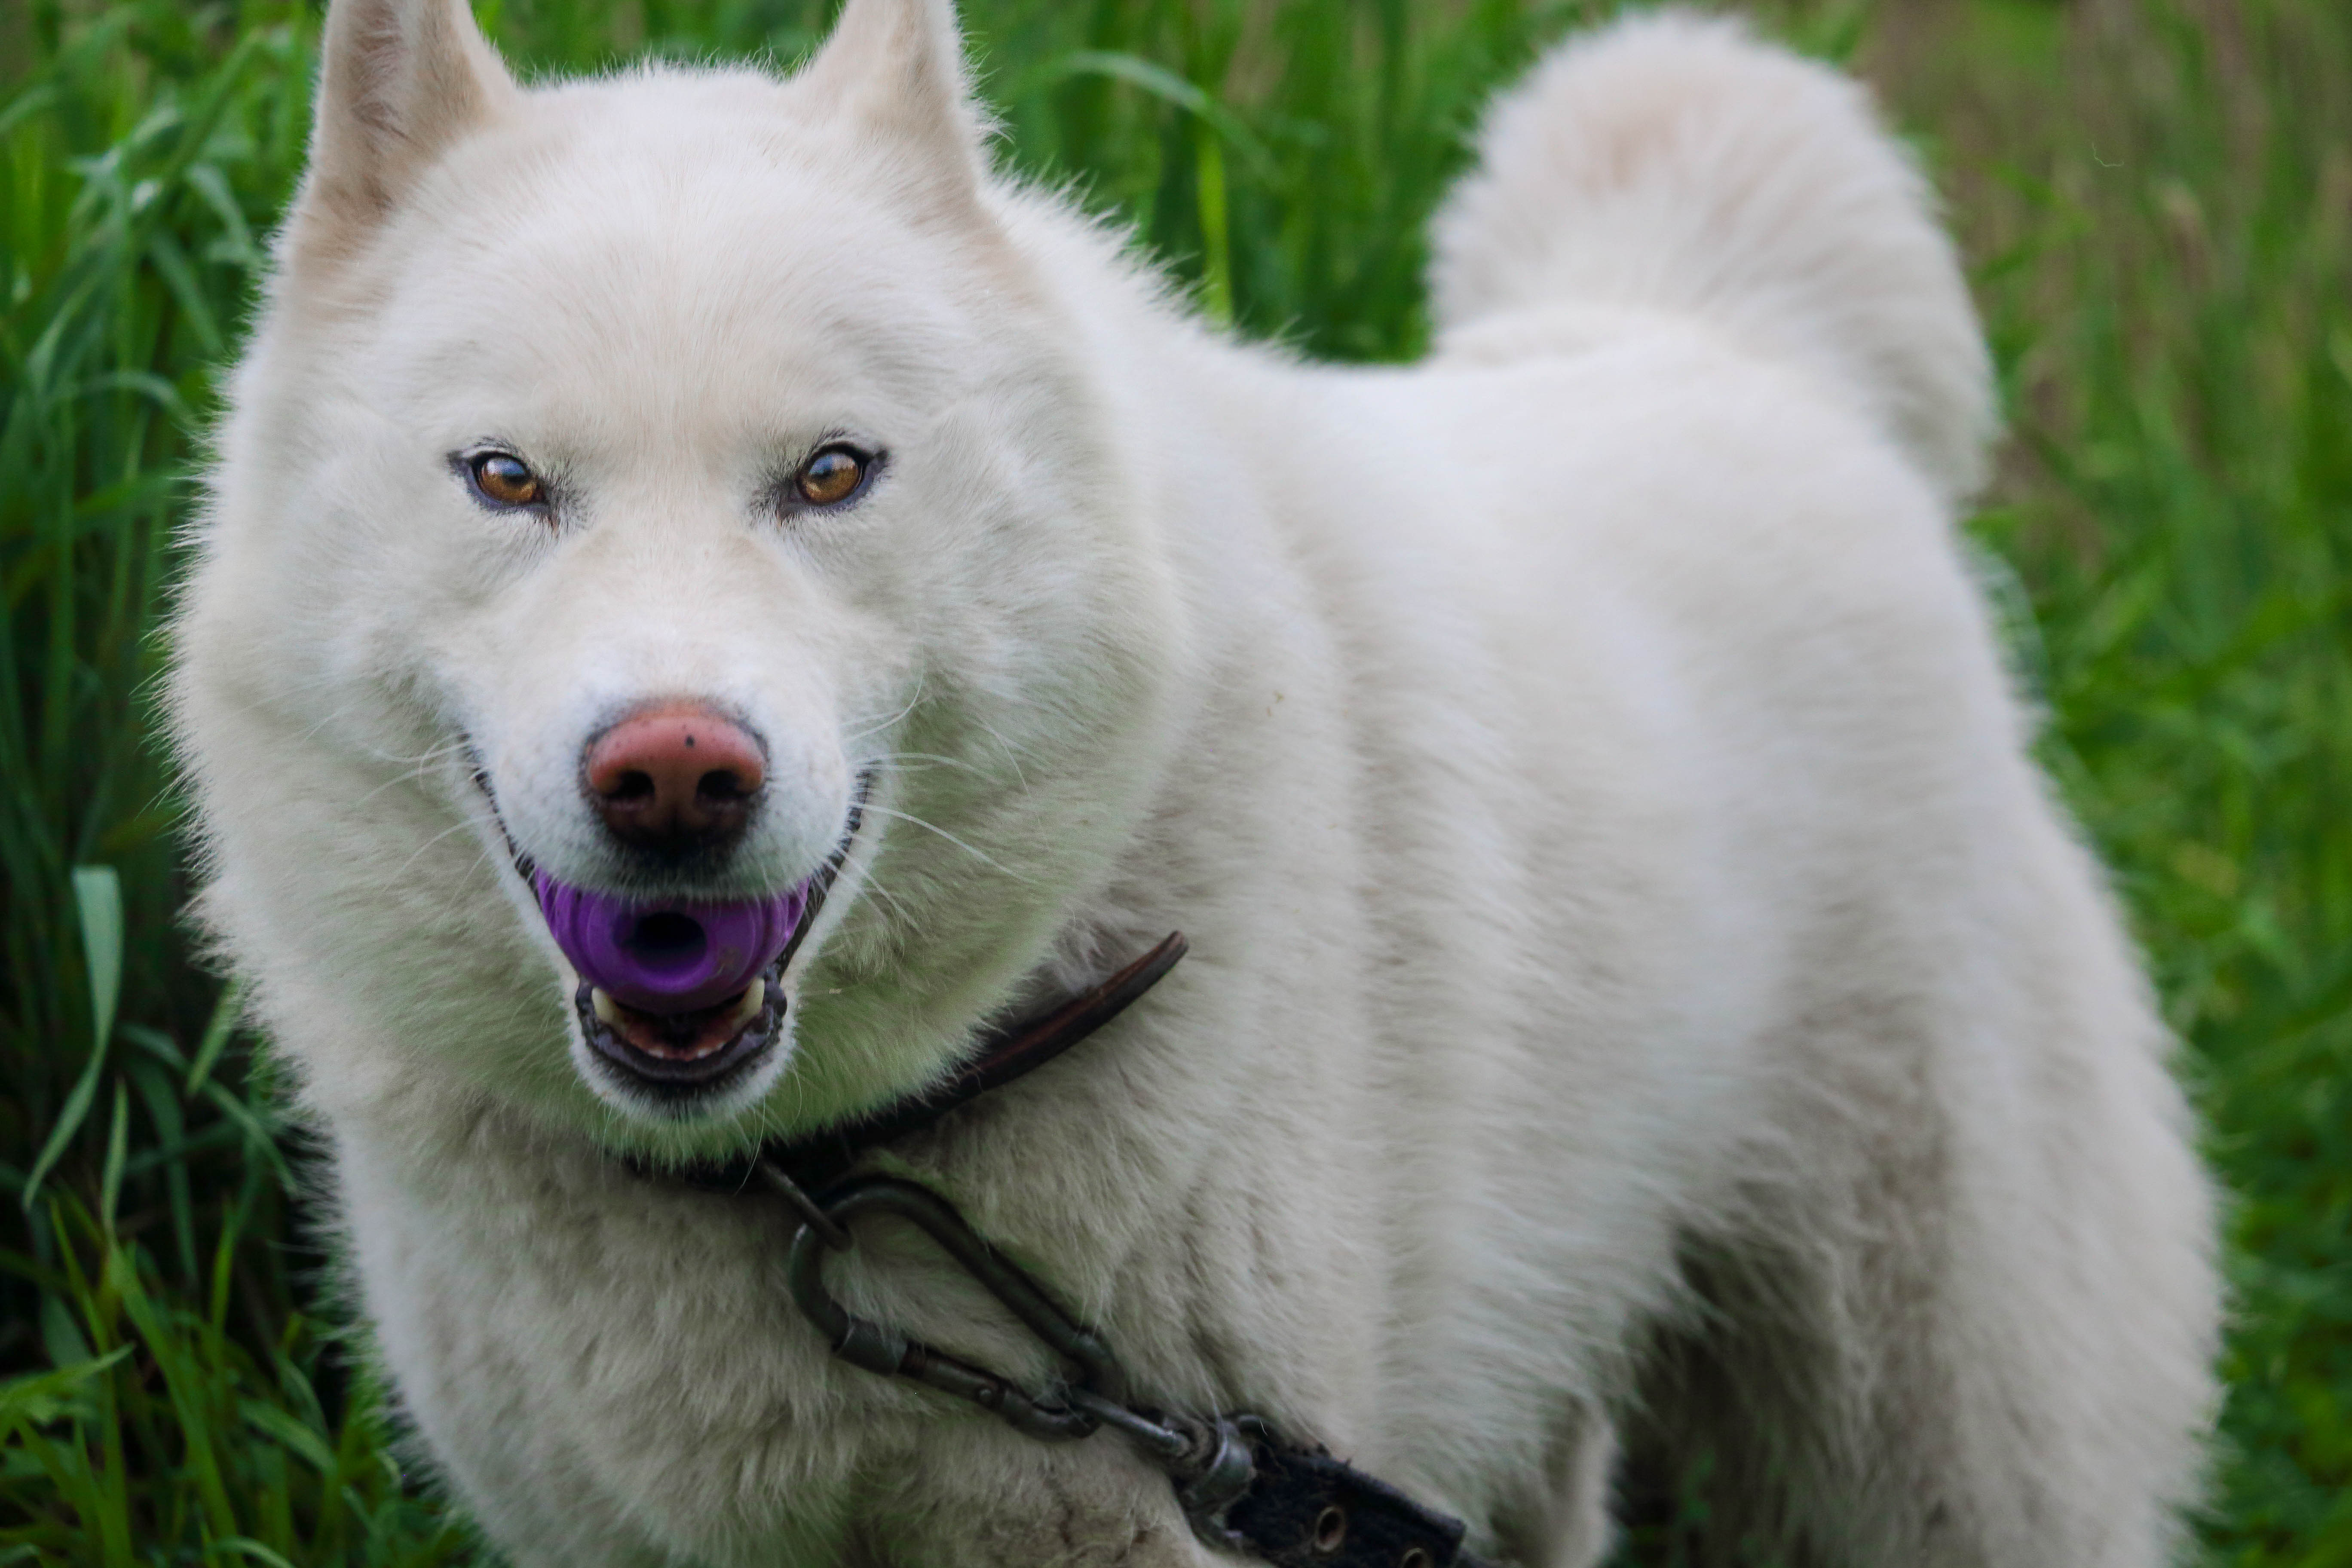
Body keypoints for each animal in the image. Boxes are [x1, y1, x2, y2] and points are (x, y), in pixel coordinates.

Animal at [174, 0, 2211, 1561]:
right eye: (505, 480)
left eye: (831, 474)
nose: (674, 775)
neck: (817, 1177)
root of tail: (1719, 338)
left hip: (1931, 1440)